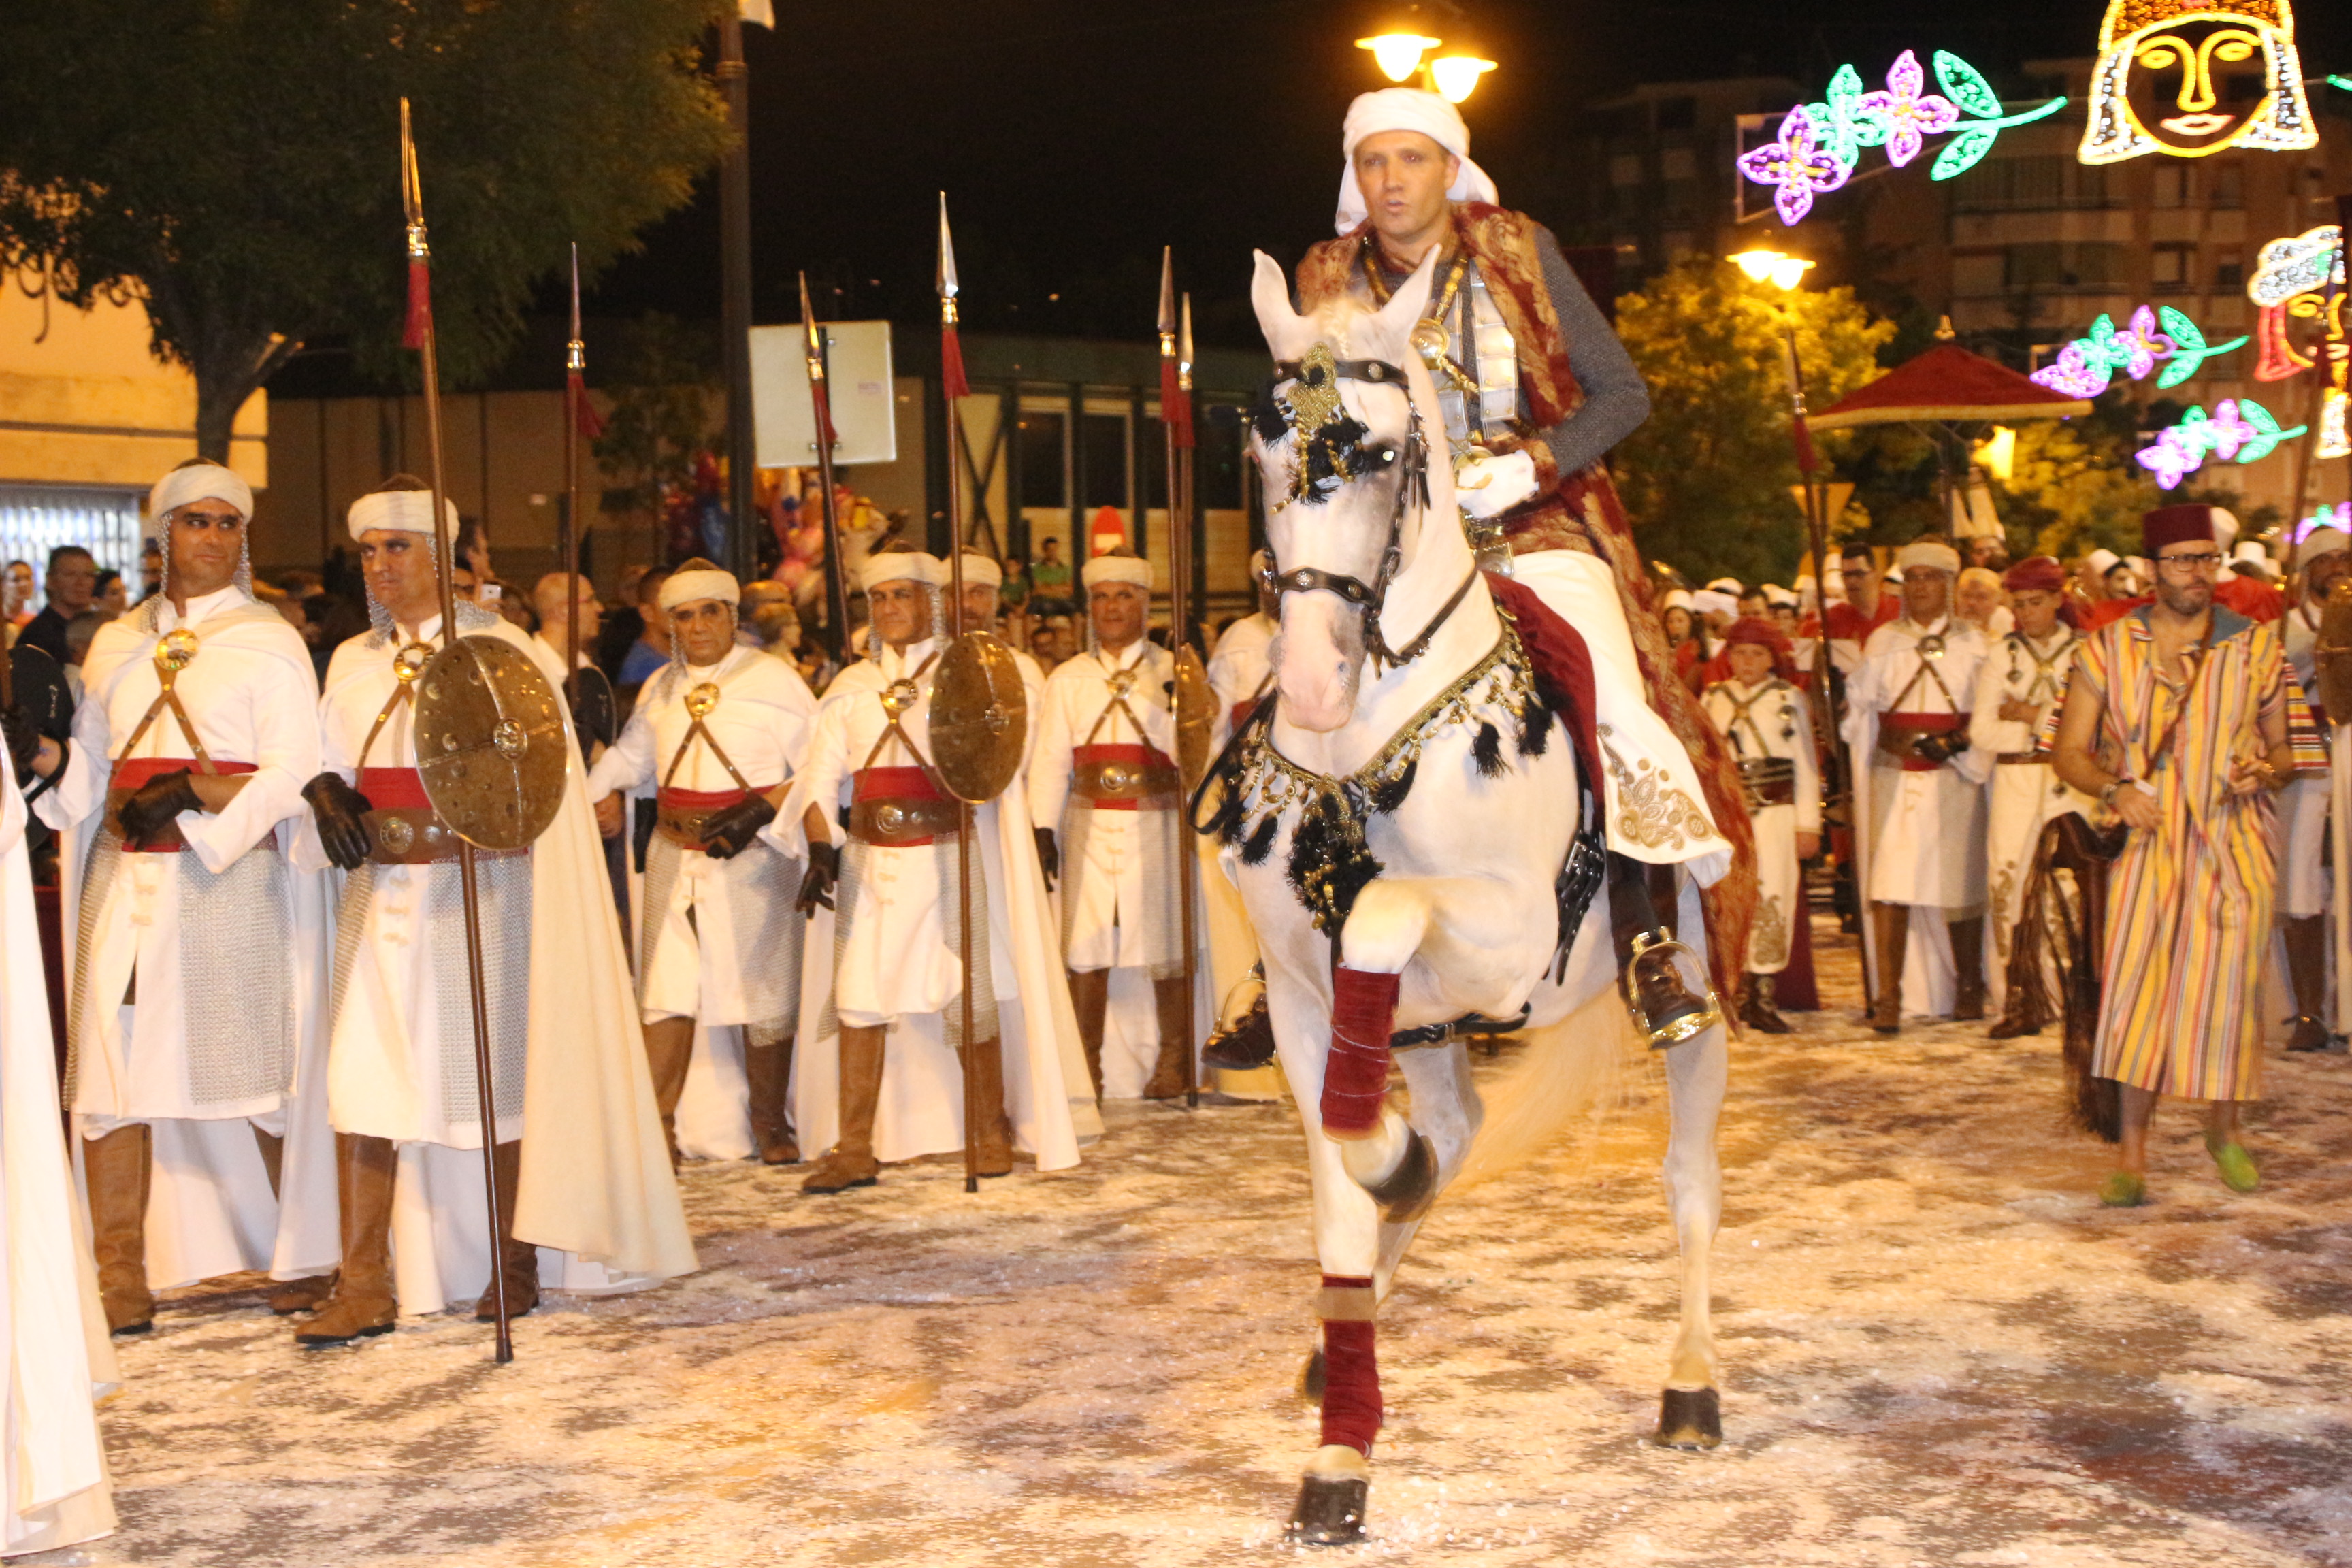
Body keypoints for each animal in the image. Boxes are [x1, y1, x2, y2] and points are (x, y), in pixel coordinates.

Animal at [1223, 251, 1740, 1542]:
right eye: (1260, 451)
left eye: (1381, 452)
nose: (1310, 683)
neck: (1361, 754)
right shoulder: (1305, 1003)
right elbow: (1342, 1172)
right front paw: (1338, 1452)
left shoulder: (1503, 938)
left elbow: (1381, 912)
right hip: (1438, 1029)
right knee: (1451, 1137)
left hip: (1698, 1000)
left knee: (1689, 1185)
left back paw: (1692, 1387)